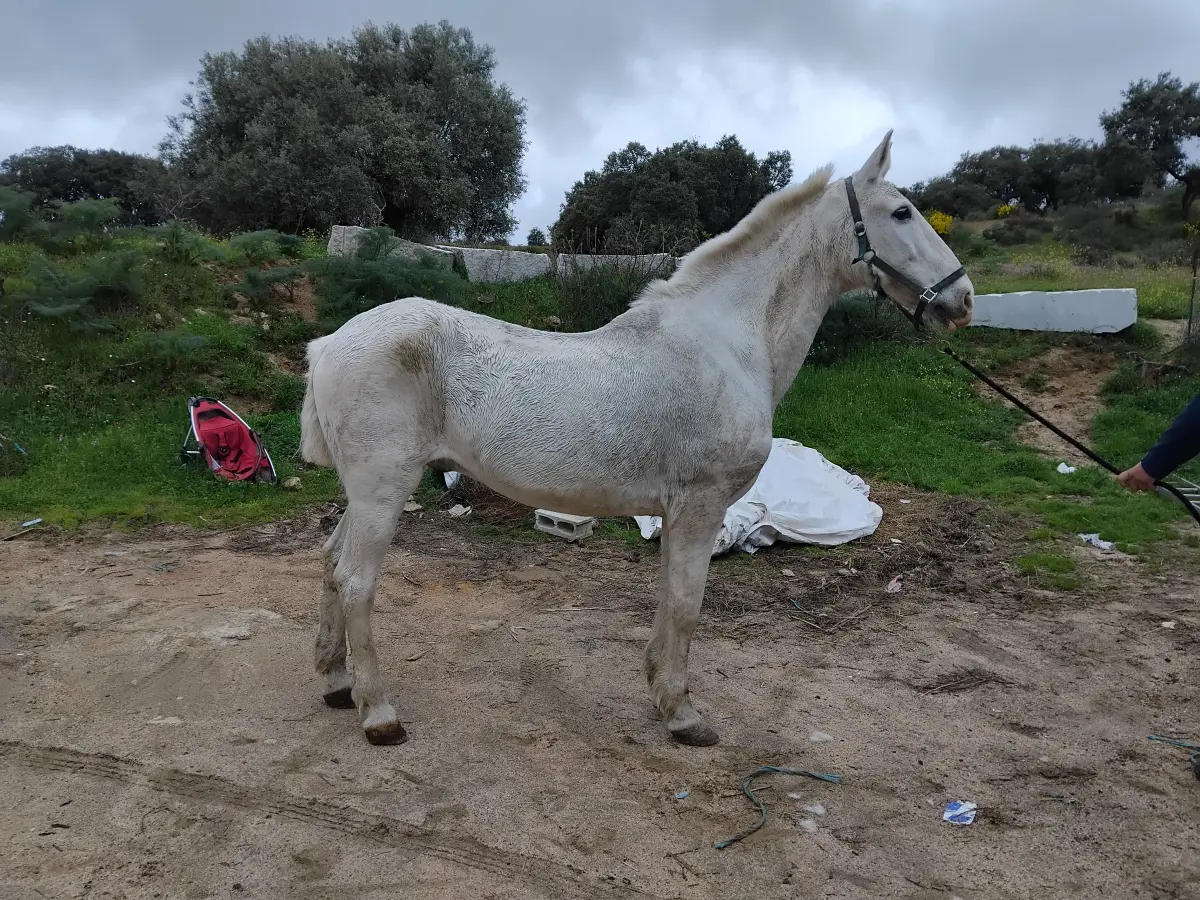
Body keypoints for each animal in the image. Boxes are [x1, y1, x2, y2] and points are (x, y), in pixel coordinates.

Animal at [299, 130, 974, 747]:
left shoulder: (678, 513)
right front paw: (683, 714)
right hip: (384, 491)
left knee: (331, 564)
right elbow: (687, 604)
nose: (963, 299)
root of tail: (330, 343)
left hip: (368, 494)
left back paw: (335, 683)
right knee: (356, 582)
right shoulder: (702, 506)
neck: (726, 344)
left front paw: (661, 691)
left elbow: (669, 599)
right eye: (902, 212)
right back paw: (379, 713)